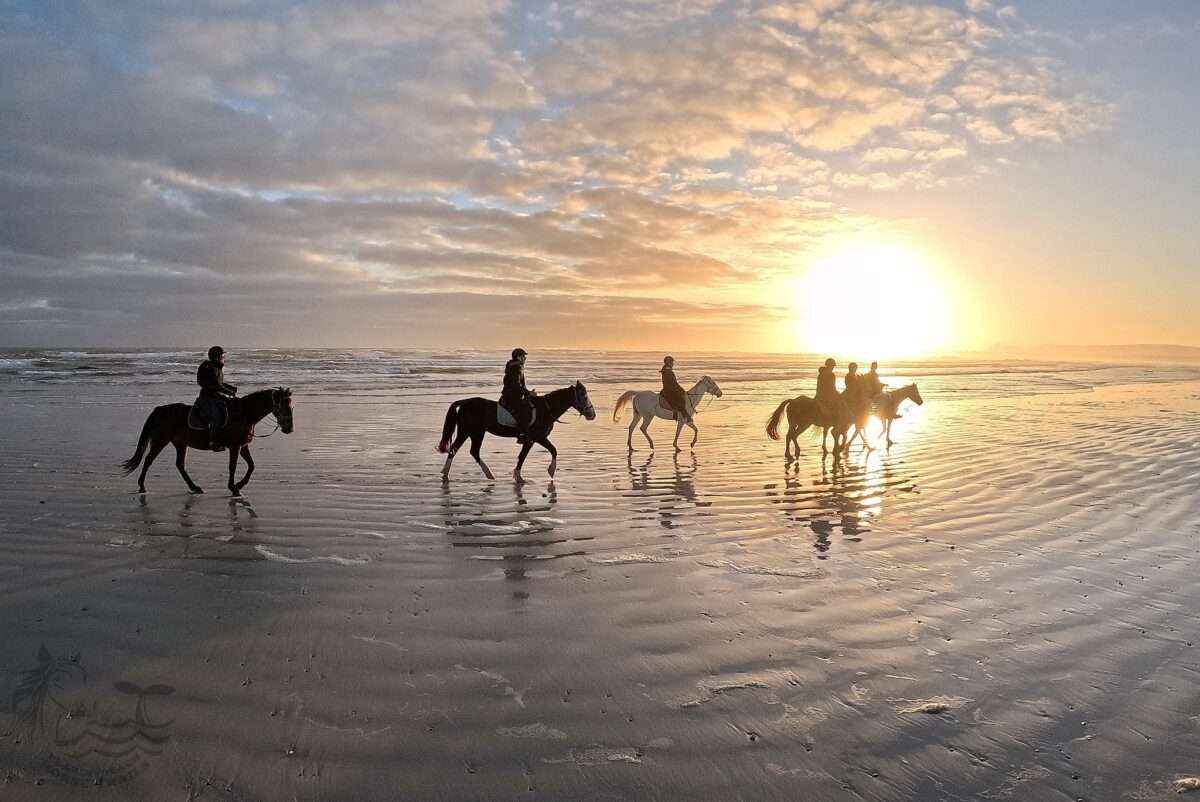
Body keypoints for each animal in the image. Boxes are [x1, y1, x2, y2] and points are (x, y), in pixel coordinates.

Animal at [121, 388, 294, 495]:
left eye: (291, 406)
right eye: (283, 406)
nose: (289, 429)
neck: (244, 413)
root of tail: (159, 410)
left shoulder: (243, 446)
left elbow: (251, 466)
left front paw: (239, 485)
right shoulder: (235, 446)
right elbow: (232, 467)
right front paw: (234, 488)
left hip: (180, 443)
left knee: (180, 465)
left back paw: (194, 487)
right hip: (160, 440)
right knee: (149, 460)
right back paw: (142, 486)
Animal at [437, 382, 596, 482]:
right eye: (583, 396)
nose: (592, 415)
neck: (546, 409)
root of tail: (464, 402)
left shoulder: (532, 440)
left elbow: (522, 456)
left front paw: (518, 476)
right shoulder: (536, 437)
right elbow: (551, 450)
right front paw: (549, 471)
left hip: (472, 432)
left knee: (465, 450)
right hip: (471, 431)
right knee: (460, 450)